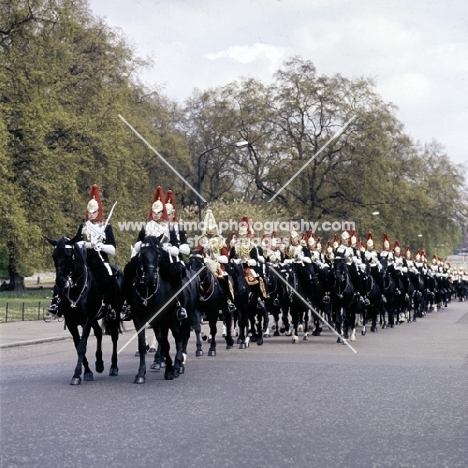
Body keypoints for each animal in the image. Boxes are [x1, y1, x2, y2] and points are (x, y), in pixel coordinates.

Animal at [47, 236, 122, 386]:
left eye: (68, 255)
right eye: (54, 255)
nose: (60, 281)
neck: (76, 289)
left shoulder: (86, 320)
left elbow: (82, 346)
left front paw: (77, 374)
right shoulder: (72, 322)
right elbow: (78, 345)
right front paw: (87, 371)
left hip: (114, 315)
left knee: (114, 337)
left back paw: (113, 366)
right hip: (94, 318)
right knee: (98, 332)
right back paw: (99, 363)